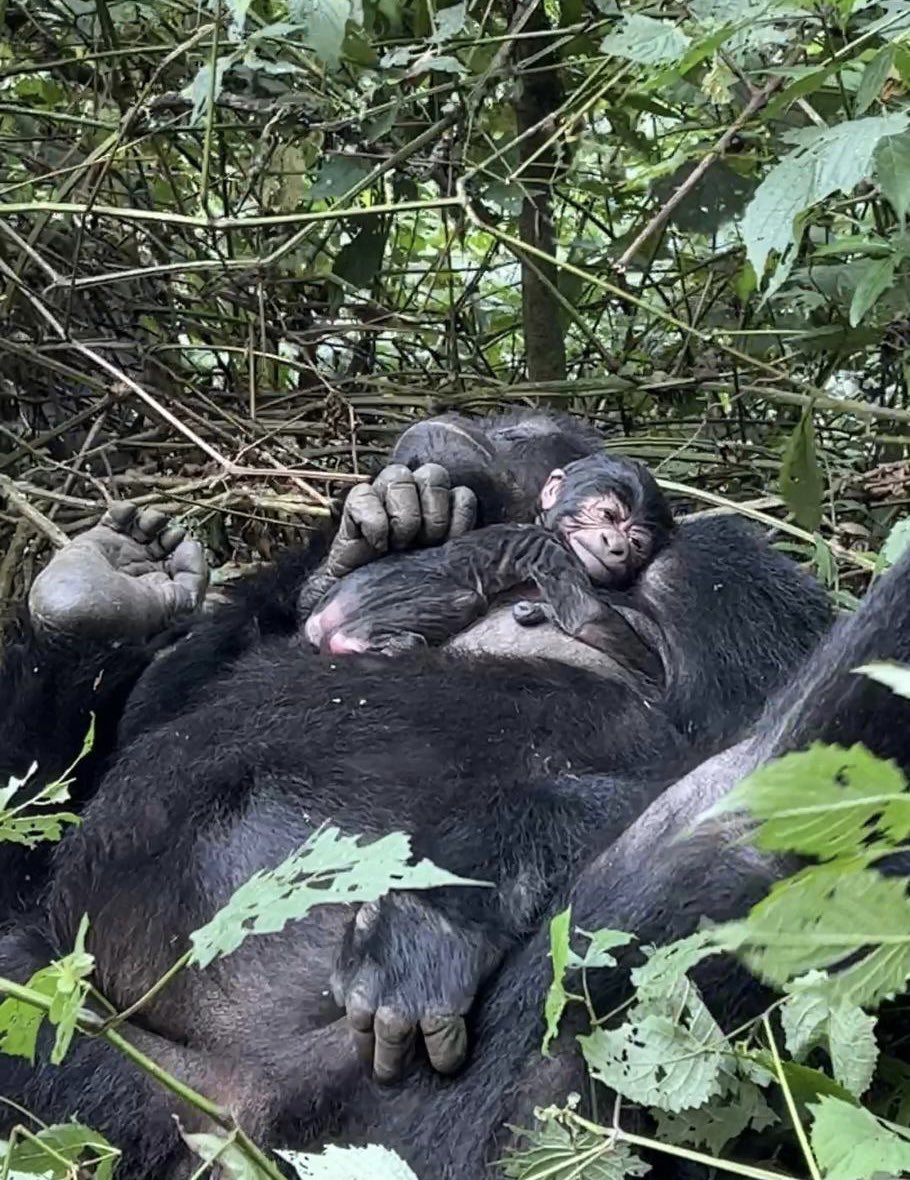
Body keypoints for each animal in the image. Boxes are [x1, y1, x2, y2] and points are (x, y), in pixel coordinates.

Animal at [302, 453, 670, 684]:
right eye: (607, 515)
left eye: (636, 543)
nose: (616, 544)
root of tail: (318, 619)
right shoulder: (548, 549)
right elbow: (586, 615)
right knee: (465, 601)